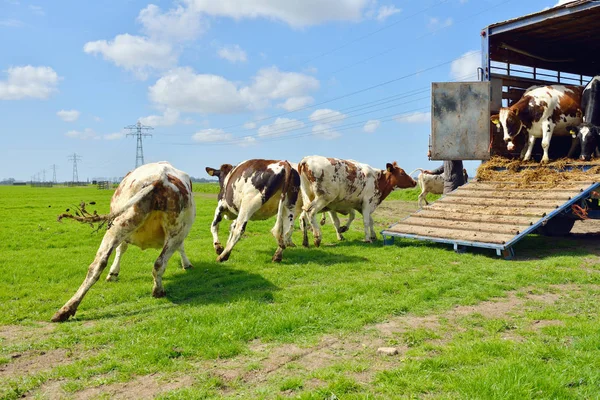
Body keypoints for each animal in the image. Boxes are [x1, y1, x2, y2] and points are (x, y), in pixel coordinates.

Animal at [51, 162, 196, 322]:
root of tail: (159, 179)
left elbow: (121, 249)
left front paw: (113, 272)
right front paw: (186, 263)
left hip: (122, 224)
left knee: (98, 264)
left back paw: (66, 309)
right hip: (171, 230)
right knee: (159, 263)